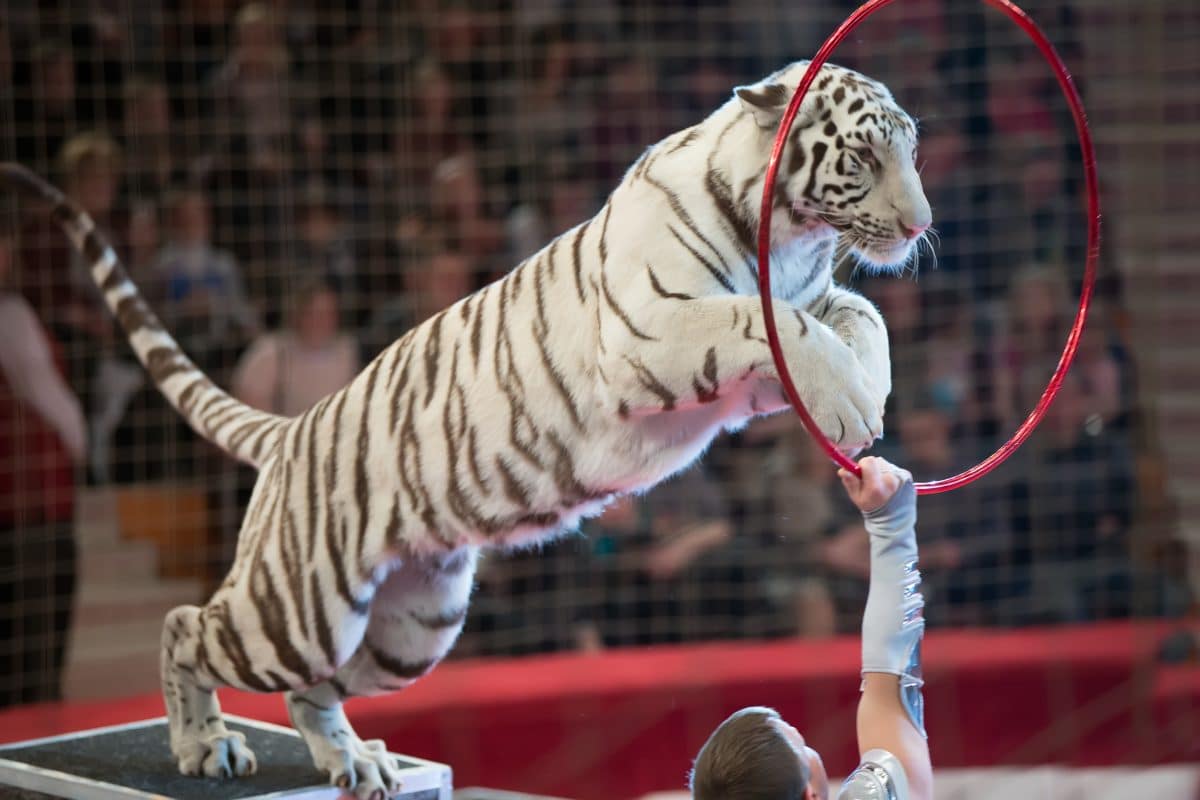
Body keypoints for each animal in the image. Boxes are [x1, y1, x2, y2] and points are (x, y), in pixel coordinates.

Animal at [0, 61, 926, 800]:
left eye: (911, 152)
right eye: (862, 157)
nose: (921, 225)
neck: (793, 232)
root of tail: (293, 430)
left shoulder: (804, 305)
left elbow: (865, 315)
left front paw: (867, 392)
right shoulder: (648, 334)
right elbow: (770, 320)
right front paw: (851, 405)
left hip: (412, 629)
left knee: (314, 689)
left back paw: (354, 762)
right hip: (293, 613)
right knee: (187, 626)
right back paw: (204, 744)